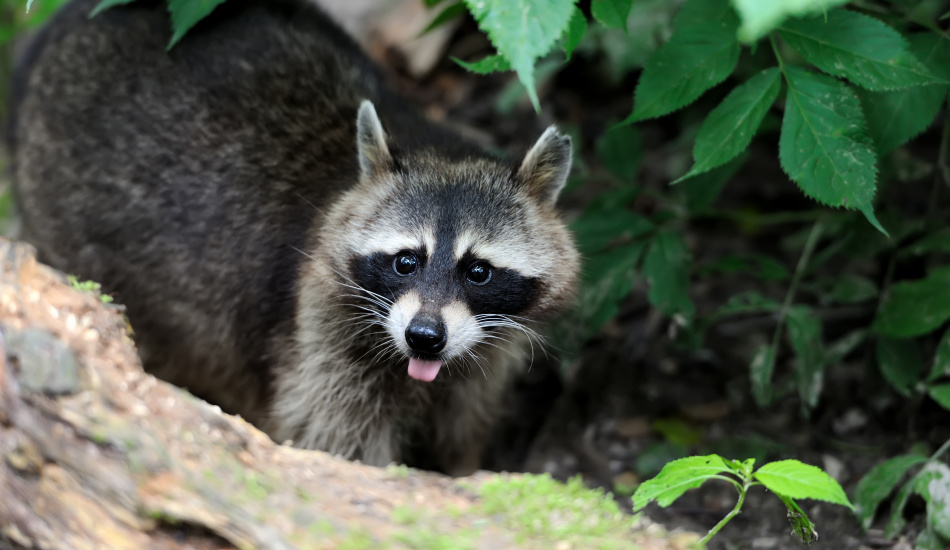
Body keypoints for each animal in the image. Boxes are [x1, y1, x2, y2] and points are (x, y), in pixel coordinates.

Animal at [9, 0, 580, 474]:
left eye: (478, 271)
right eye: (405, 262)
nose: (424, 337)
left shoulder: (488, 354)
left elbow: (462, 429)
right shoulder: (319, 329)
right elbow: (333, 441)